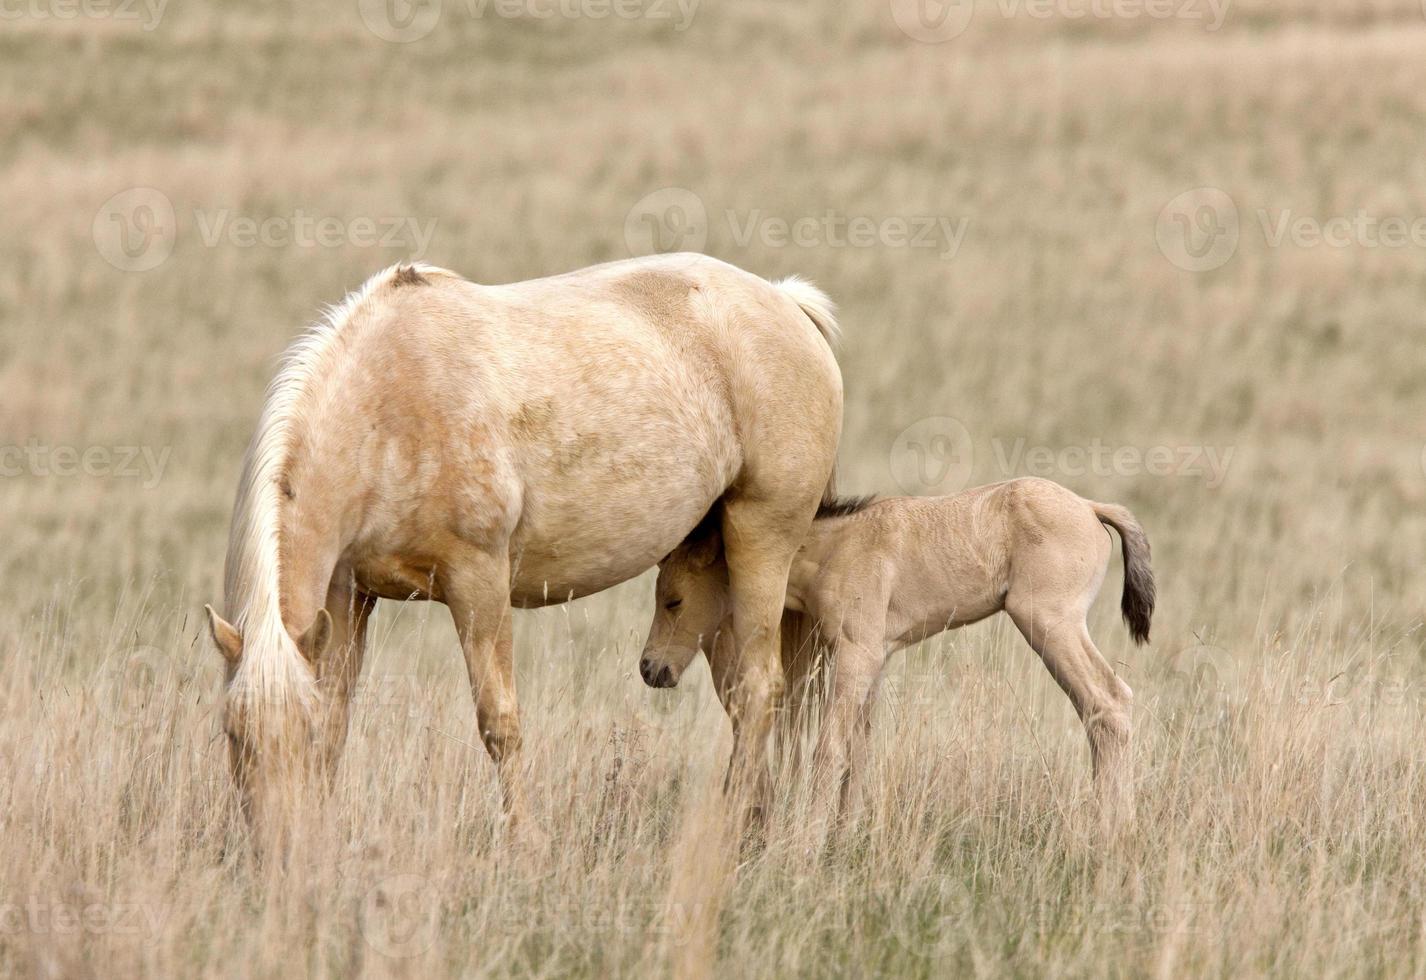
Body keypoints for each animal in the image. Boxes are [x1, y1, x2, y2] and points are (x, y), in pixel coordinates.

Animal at [206, 256, 838, 844]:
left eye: (302, 732)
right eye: (234, 735)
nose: (279, 847)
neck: (389, 405)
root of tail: (786, 302)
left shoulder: (479, 584)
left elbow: (499, 723)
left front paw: (525, 843)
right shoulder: (347, 596)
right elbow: (341, 713)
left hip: (761, 541)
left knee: (759, 689)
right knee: (741, 694)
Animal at [641, 479, 1152, 821]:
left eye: (673, 600)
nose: (651, 668)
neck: (837, 549)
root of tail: (1090, 507)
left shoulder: (856, 655)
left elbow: (829, 750)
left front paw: (807, 841)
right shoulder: (877, 659)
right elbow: (859, 751)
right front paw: (845, 833)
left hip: (1051, 625)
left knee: (1109, 702)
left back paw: (1111, 829)